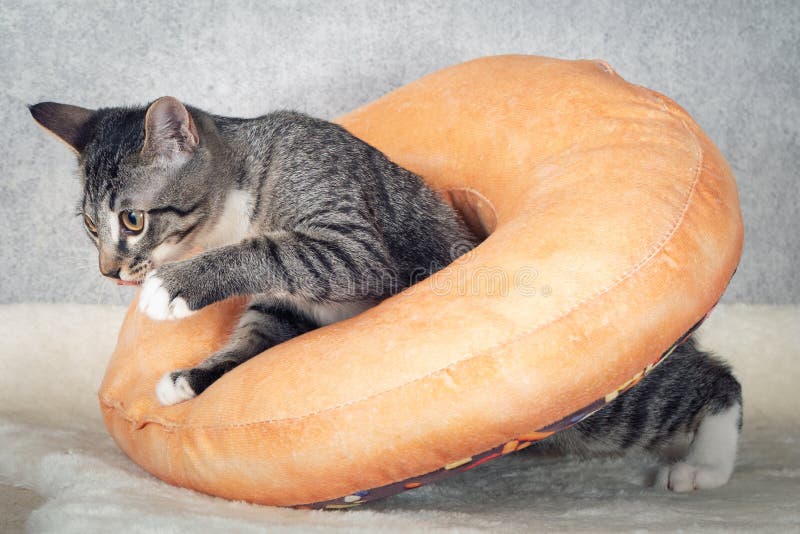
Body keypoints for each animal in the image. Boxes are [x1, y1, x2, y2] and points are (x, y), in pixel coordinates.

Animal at [31, 97, 744, 494]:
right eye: (91, 226)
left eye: (132, 221)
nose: (110, 272)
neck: (244, 190)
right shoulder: (284, 306)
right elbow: (256, 337)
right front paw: (195, 375)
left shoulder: (352, 246)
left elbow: (275, 251)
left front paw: (175, 287)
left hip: (601, 408)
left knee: (713, 384)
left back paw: (707, 466)